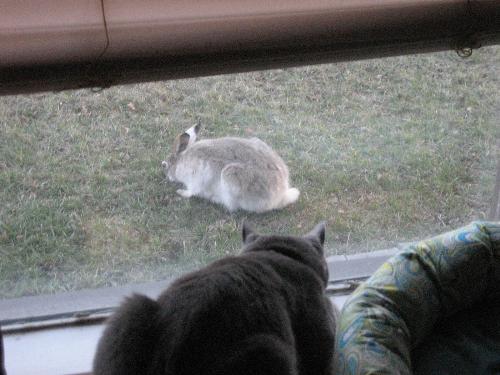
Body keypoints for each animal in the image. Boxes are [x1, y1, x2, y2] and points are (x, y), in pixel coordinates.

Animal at [162, 122, 298, 212]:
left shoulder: (195, 179)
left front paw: (181, 192)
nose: (168, 177)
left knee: (233, 206)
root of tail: (281, 194)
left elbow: (191, 192)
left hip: (230, 177)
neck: (180, 161)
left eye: (166, 166)